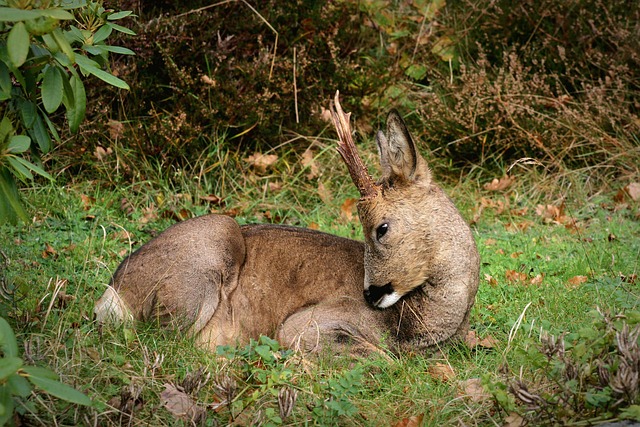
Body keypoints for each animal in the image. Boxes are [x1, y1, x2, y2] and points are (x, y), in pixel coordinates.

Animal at [94, 92, 480, 355]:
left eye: (381, 228)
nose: (371, 293)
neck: (421, 322)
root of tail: (114, 293)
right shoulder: (307, 323)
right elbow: (380, 357)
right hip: (209, 250)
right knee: (164, 341)